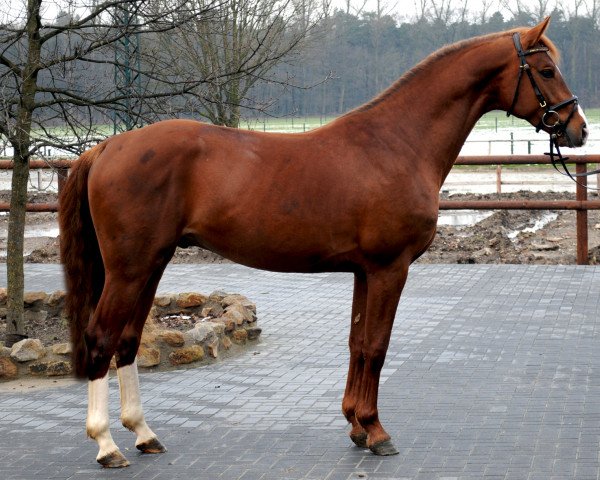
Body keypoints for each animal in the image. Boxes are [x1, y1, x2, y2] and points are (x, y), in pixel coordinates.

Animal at [59, 19, 584, 468]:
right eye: (546, 70)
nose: (577, 129)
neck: (397, 143)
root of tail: (107, 146)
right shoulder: (389, 268)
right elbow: (377, 346)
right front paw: (376, 431)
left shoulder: (363, 271)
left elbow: (357, 343)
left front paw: (355, 424)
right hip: (130, 268)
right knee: (101, 338)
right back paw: (107, 445)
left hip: (151, 264)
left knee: (127, 341)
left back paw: (144, 434)